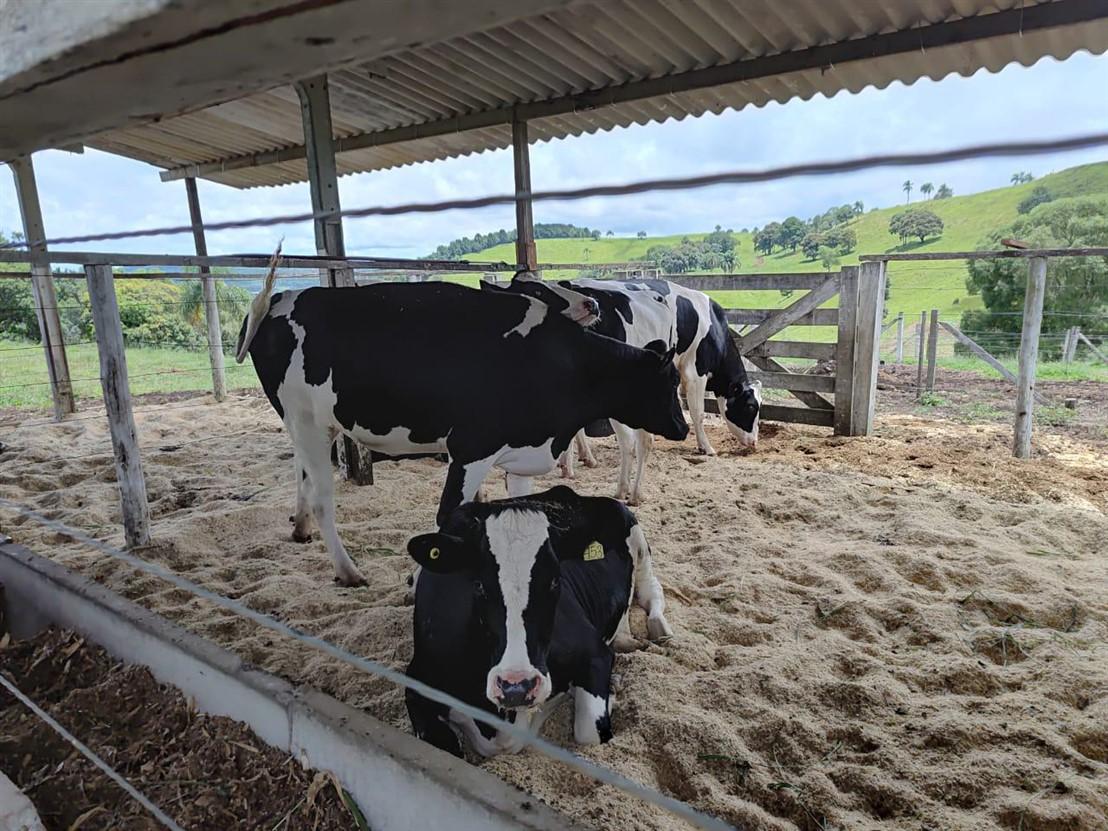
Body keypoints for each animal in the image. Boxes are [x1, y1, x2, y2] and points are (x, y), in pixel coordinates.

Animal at [236, 256, 688, 586]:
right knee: (323, 498)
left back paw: (301, 529)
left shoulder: (522, 450)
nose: (683, 428)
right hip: (306, 421)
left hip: (310, 424)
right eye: (668, 384)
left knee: (302, 475)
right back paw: (348, 571)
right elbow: (447, 516)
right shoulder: (471, 448)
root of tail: (282, 297)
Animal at [405, 485, 672, 757]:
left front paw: (611, 691)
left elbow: (588, 732)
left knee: (651, 589)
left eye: (555, 580)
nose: (517, 686)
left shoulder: (595, 652)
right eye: (478, 584)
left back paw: (659, 630)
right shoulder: (416, 682)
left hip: (638, 543)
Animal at [484, 276, 762, 504]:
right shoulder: (695, 370)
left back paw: (578, 461)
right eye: (751, 407)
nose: (754, 443)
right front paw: (706, 448)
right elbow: (697, 412)